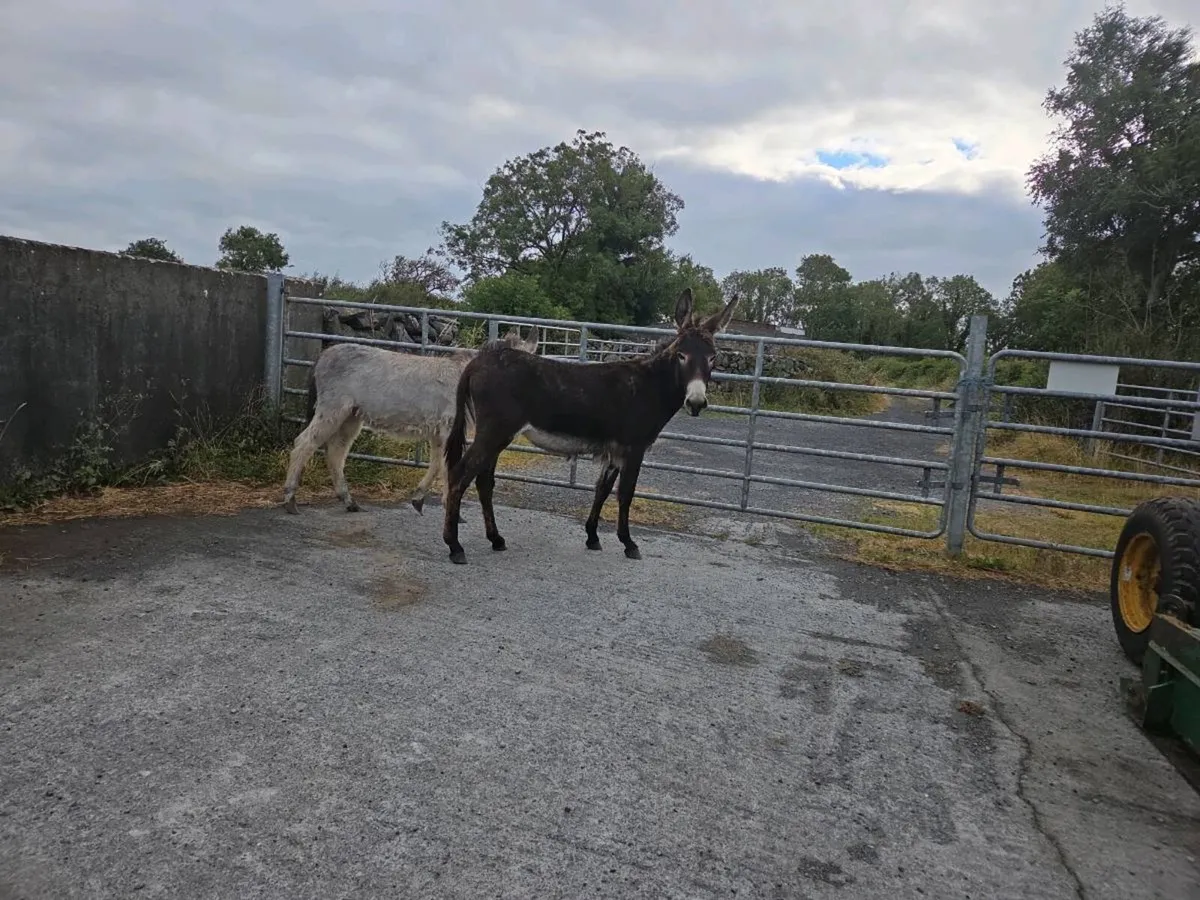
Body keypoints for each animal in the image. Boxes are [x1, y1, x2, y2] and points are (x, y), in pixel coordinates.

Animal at [282, 328, 539, 516]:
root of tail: (324, 354)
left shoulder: (439, 433)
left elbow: (436, 465)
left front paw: (418, 498)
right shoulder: (448, 429)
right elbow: (446, 467)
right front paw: (449, 506)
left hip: (351, 416)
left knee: (335, 452)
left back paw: (348, 501)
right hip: (333, 409)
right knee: (304, 443)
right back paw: (290, 499)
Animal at [440, 288, 739, 564]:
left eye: (713, 357)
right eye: (681, 355)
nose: (696, 403)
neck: (649, 387)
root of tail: (478, 361)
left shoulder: (615, 450)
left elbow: (602, 490)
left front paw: (593, 536)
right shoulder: (634, 449)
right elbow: (625, 494)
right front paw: (629, 543)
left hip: (497, 435)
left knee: (483, 481)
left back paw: (496, 539)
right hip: (495, 432)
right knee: (459, 475)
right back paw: (455, 546)